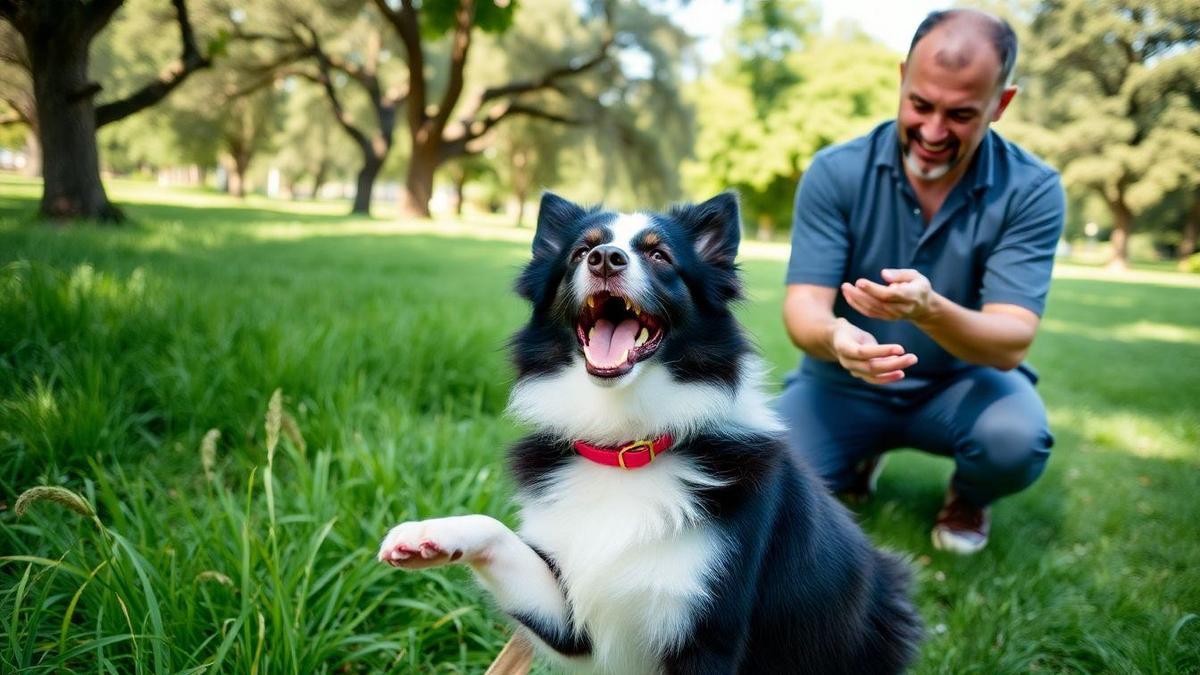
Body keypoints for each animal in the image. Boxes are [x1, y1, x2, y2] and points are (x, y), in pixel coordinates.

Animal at [379, 192, 921, 667]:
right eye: (581, 251)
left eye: (660, 255)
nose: (605, 259)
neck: (626, 445)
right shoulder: (576, 618)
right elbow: (498, 533)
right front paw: (428, 534)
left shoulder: (711, 634)